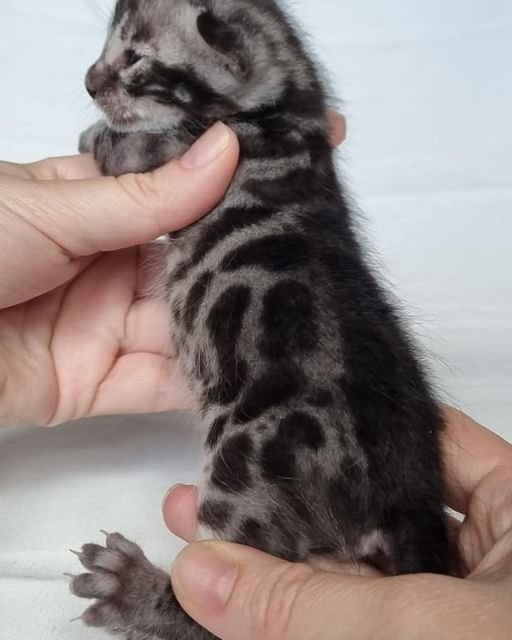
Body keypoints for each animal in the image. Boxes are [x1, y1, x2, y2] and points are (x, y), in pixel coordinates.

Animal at [70, 1, 454, 640]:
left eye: (135, 58)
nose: (89, 82)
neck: (288, 109)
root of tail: (410, 491)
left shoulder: (195, 148)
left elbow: (134, 149)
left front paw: (99, 138)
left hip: (244, 473)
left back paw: (138, 592)